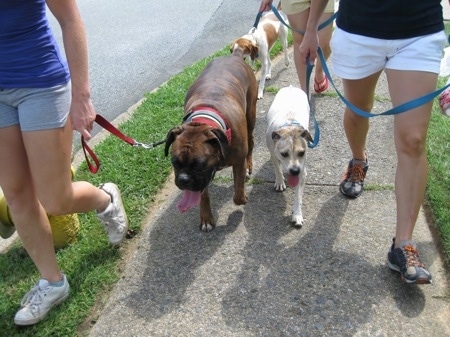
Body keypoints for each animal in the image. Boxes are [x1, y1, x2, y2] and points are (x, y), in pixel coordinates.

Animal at [164, 47, 256, 231]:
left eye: (199, 164)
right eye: (175, 162)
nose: (183, 179)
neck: (204, 120)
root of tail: (235, 55)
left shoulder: (237, 162)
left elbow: (238, 194)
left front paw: (242, 198)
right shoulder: (202, 180)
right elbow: (203, 196)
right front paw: (206, 218)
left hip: (251, 117)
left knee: (251, 143)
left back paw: (249, 164)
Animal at [266, 85, 312, 227]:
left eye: (302, 153)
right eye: (284, 154)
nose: (295, 170)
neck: (289, 125)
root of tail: (291, 86)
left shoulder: (302, 172)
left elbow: (298, 197)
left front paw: (297, 215)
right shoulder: (273, 152)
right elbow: (277, 168)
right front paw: (280, 181)